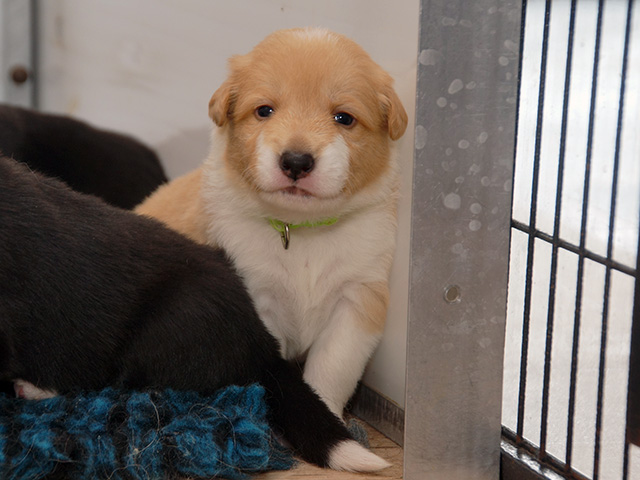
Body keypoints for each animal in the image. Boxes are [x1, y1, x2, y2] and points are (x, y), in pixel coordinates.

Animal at [136, 28, 408, 418]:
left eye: (344, 118)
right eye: (264, 111)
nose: (296, 161)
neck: (302, 230)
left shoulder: (357, 299)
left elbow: (332, 369)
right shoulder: (256, 297)